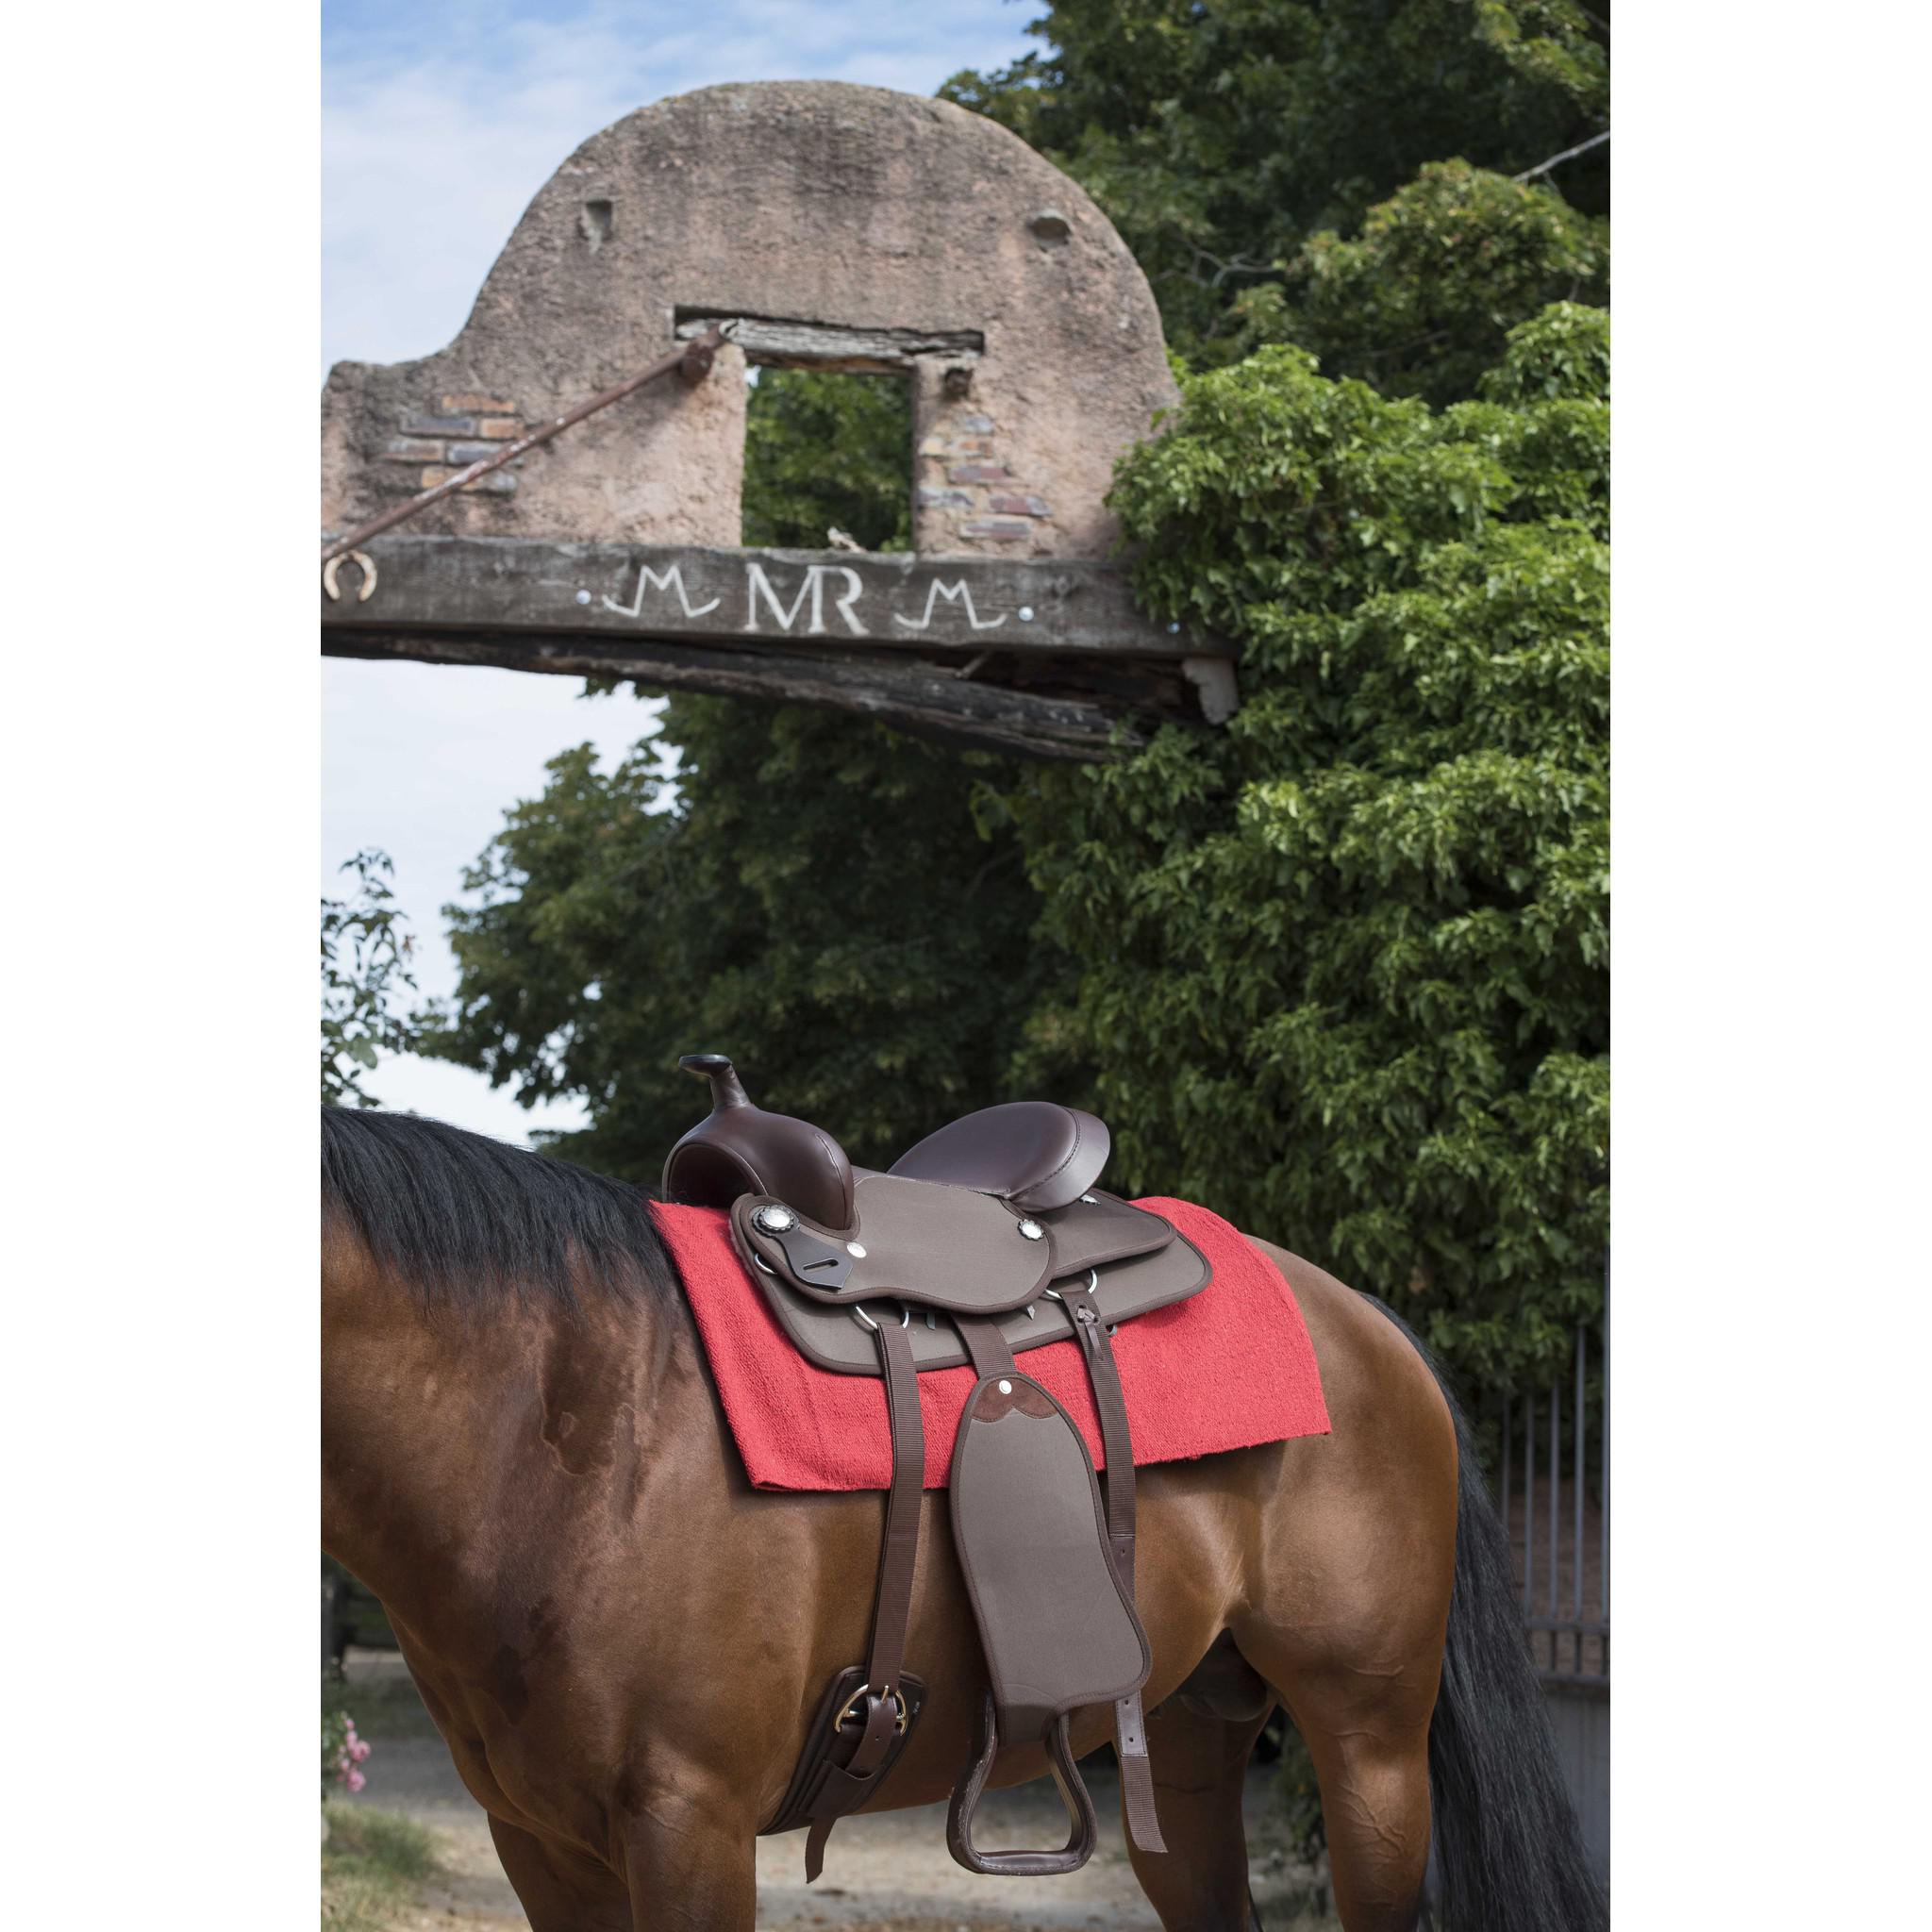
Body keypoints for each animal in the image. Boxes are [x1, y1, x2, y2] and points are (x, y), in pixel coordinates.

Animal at [321, 1105, 1605, 1932]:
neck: (571, 1420)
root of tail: (1368, 1321)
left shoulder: (686, 1821)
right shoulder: (540, 1841)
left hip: (1370, 1740)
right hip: (1191, 1733)